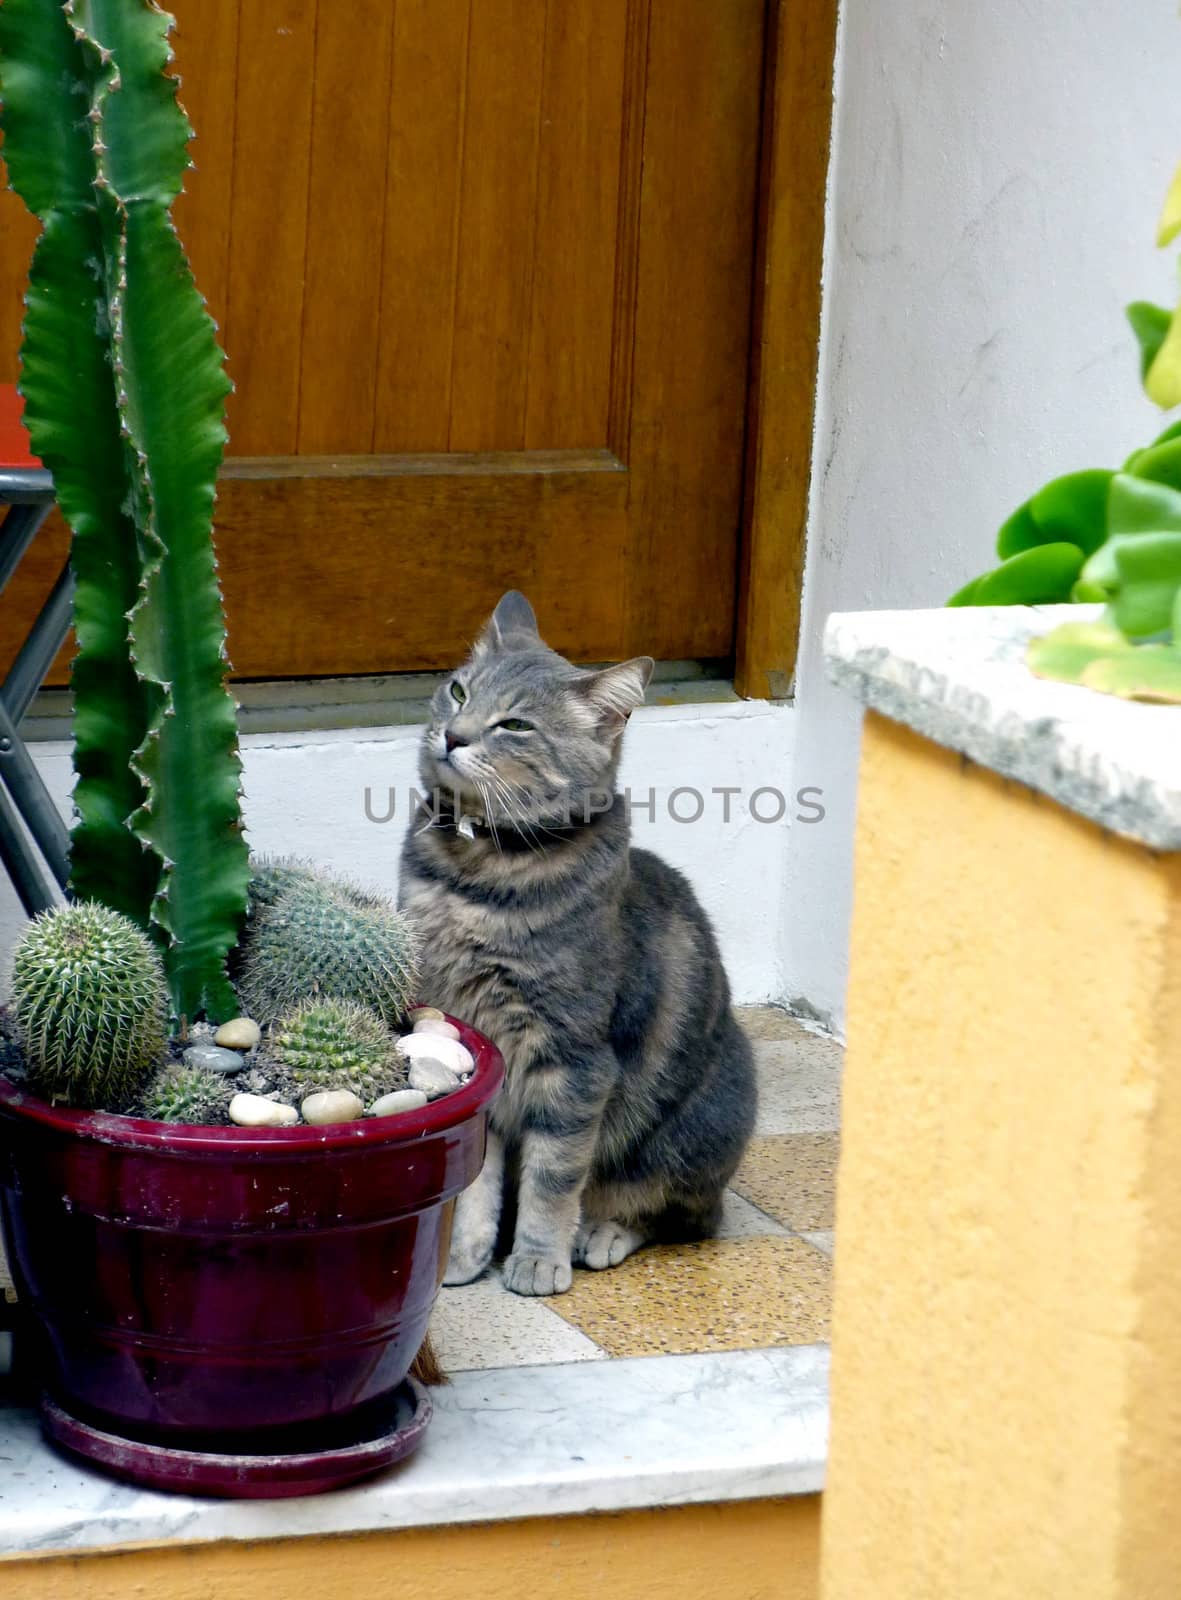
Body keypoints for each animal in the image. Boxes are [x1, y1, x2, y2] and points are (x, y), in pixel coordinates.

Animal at [398, 595, 755, 1292]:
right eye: (459, 691)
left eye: (515, 725)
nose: (454, 735)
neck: (474, 880)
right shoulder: (476, 1041)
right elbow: (478, 1180)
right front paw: (464, 1256)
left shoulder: (571, 1058)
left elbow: (553, 1176)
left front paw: (538, 1257)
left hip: (692, 1132)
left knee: (679, 1215)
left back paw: (602, 1234)